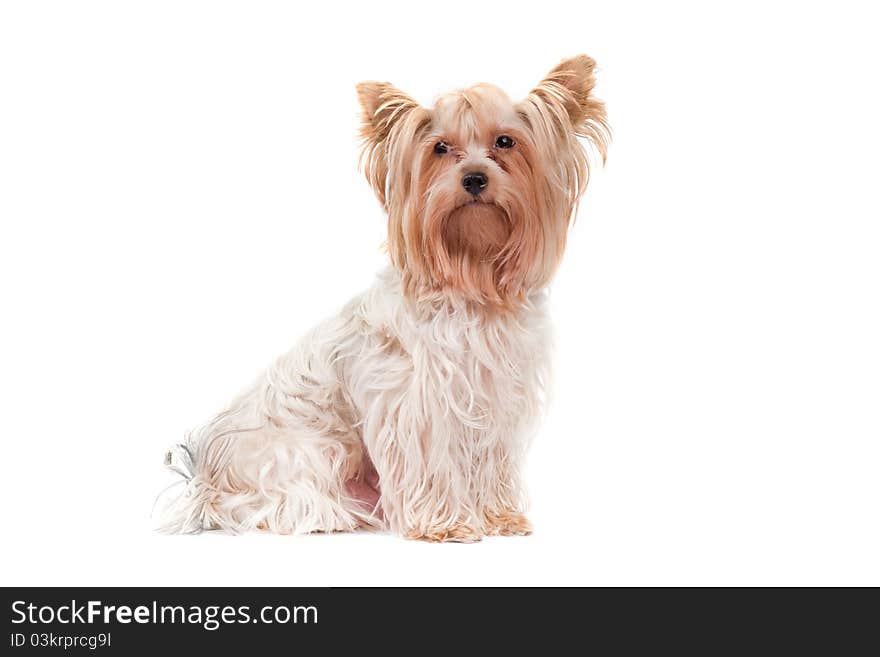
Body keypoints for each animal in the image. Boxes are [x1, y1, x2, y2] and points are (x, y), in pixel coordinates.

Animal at [160, 55, 604, 540]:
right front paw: (445, 524)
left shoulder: (494, 398)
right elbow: (430, 462)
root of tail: (205, 482)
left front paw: (497, 517)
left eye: (505, 142)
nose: (474, 178)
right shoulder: (416, 404)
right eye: (440, 148)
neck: (472, 276)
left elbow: (488, 460)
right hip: (311, 449)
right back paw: (333, 514)